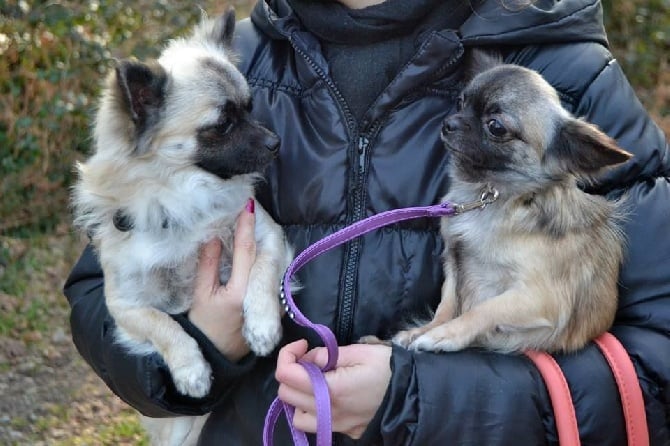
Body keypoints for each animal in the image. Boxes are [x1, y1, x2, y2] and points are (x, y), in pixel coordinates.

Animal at [73, 8, 292, 444]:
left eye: (250, 107)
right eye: (222, 125)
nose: (275, 142)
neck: (186, 195)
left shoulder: (268, 235)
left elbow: (261, 271)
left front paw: (261, 323)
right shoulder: (124, 306)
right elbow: (164, 326)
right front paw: (191, 370)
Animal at [392, 52, 632, 354]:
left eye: (496, 127)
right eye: (460, 102)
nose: (449, 123)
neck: (489, 195)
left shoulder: (538, 297)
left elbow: (483, 310)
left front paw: (444, 335)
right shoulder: (455, 266)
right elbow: (446, 305)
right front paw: (425, 330)